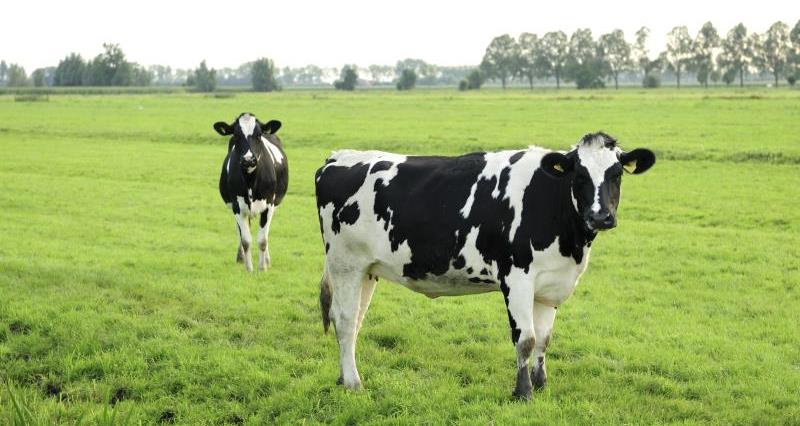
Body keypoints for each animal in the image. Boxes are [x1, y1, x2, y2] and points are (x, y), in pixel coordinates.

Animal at [214, 113, 288, 272]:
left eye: (259, 135)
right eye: (236, 135)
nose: (248, 160)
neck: (250, 180)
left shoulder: (269, 206)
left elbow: (262, 240)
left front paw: (262, 268)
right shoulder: (237, 206)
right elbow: (246, 240)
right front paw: (249, 270)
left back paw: (267, 260)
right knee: (240, 232)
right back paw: (241, 257)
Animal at [315, 132, 655, 399]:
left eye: (616, 174)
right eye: (579, 176)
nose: (601, 216)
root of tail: (338, 157)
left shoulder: (551, 284)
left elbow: (545, 338)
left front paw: (541, 384)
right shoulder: (517, 277)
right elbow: (526, 339)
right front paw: (523, 392)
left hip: (367, 270)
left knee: (354, 319)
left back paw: (343, 377)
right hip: (345, 263)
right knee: (344, 320)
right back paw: (354, 383)